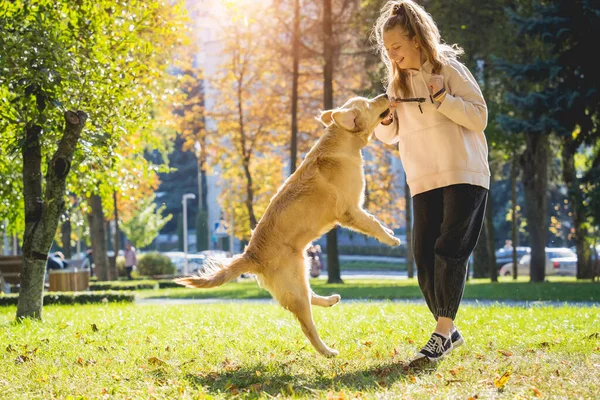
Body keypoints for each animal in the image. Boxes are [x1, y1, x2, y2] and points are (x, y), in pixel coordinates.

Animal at [175, 94, 398, 356]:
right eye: (370, 103)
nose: (386, 95)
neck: (340, 141)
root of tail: (250, 255)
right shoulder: (350, 210)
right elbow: (373, 223)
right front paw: (391, 238)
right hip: (295, 283)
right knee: (308, 325)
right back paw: (327, 351)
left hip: (301, 270)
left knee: (310, 296)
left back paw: (329, 300)